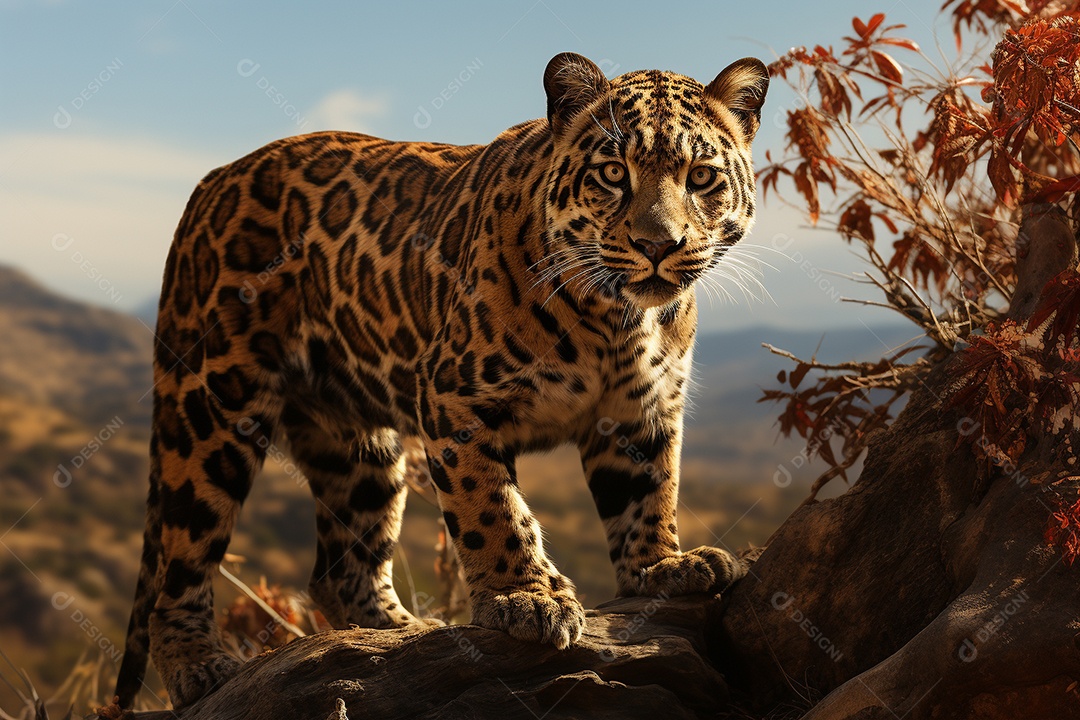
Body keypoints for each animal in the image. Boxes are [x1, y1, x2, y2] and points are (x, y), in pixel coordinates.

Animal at [114, 52, 769, 709]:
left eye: (702, 178)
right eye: (612, 173)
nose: (658, 245)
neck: (617, 320)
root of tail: (214, 177)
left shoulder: (643, 413)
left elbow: (651, 493)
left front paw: (662, 568)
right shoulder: (456, 400)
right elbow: (492, 505)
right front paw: (523, 597)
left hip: (359, 446)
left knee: (338, 570)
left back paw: (398, 636)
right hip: (213, 410)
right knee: (181, 563)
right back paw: (200, 668)